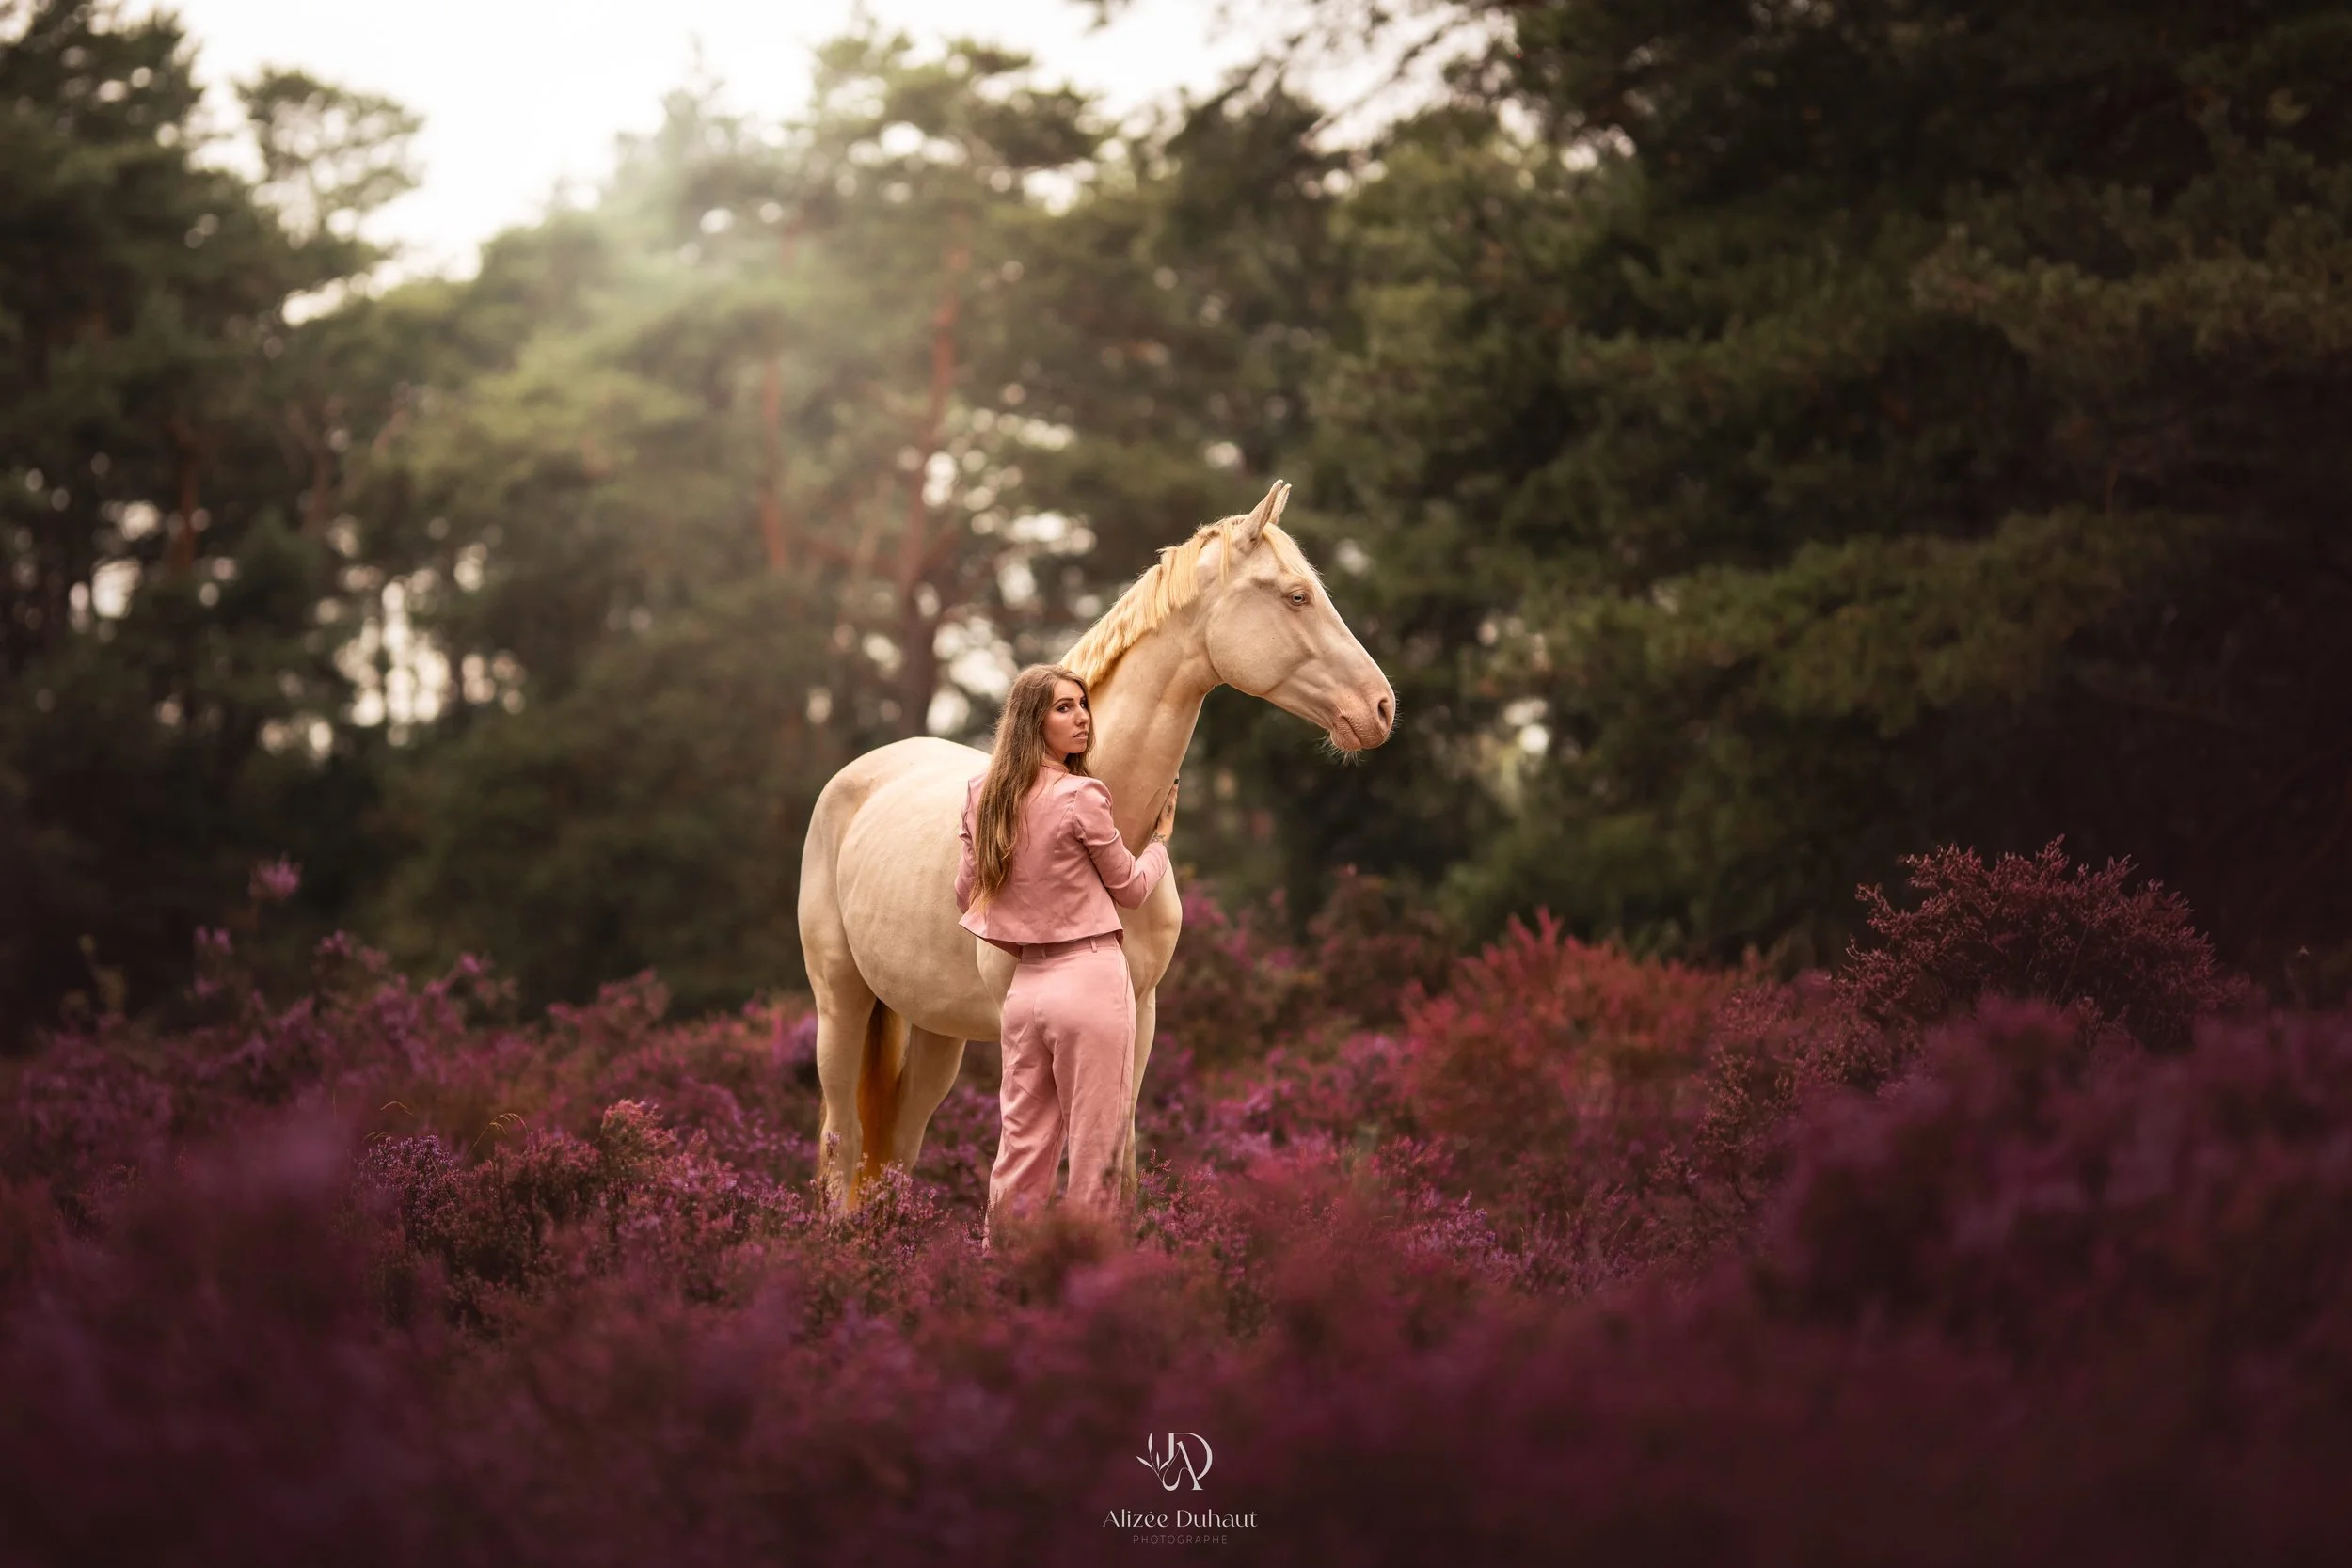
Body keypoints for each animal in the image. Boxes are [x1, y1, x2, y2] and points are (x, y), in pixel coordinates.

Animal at [795, 480, 1396, 1212]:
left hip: (936, 1030)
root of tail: (857, 776)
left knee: (896, 1153)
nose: (1381, 707)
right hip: (841, 1004)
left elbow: (1117, 1167)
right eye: (1296, 595)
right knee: (841, 1149)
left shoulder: (1138, 1017)